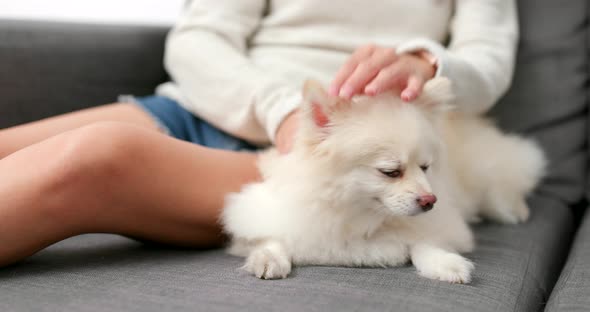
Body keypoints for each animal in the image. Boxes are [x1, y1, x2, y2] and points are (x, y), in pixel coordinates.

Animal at [221, 77, 544, 282]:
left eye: (425, 167)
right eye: (390, 171)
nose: (430, 200)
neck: (361, 217)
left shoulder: (439, 223)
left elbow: (422, 242)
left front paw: (444, 263)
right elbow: (272, 236)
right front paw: (268, 257)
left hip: (484, 173)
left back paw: (514, 209)